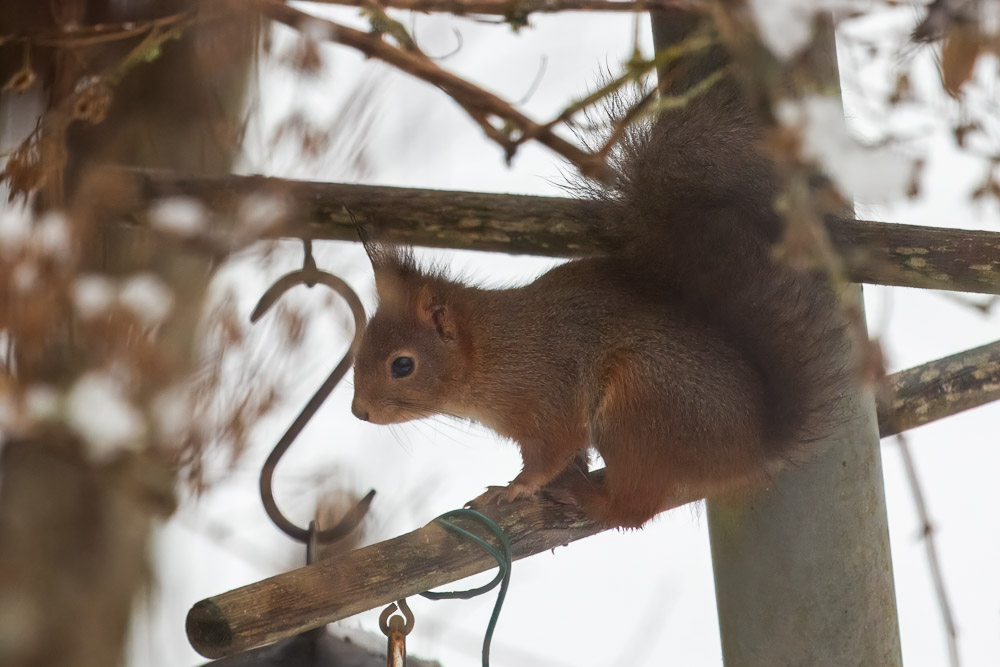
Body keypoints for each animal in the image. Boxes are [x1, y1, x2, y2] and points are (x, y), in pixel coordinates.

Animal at [350, 36, 852, 528]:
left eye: (402, 365)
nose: (360, 412)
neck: (490, 352)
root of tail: (752, 451)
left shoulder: (547, 397)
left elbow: (552, 450)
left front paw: (515, 488)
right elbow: (571, 454)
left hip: (640, 409)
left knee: (634, 508)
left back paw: (588, 498)